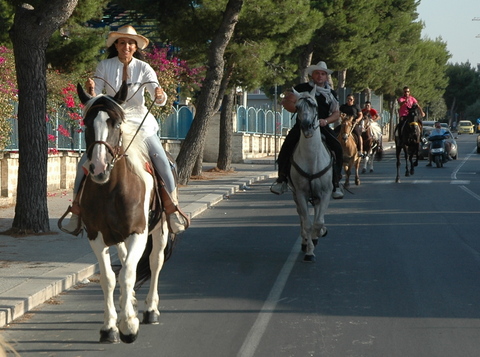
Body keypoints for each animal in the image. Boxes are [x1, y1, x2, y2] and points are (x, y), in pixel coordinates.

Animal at [288, 87, 334, 262]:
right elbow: (307, 223)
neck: (311, 159)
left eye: (314, 105)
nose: (307, 127)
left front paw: (318, 234)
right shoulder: (300, 193)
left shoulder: (326, 192)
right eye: (297, 107)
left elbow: (319, 221)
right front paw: (309, 250)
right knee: (301, 217)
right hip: (296, 194)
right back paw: (305, 241)